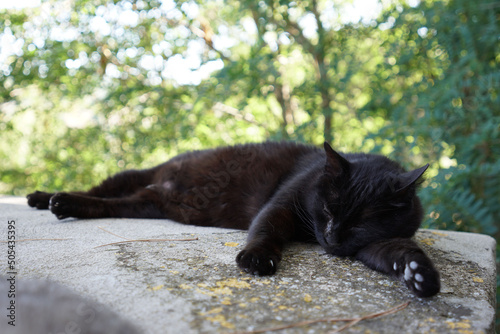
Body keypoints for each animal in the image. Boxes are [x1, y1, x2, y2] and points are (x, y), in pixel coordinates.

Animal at [27, 141, 442, 298]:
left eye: (358, 224)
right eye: (327, 210)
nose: (332, 238)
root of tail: (160, 183)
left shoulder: (377, 242)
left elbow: (398, 250)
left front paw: (419, 274)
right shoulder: (282, 205)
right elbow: (267, 230)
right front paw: (258, 258)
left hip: (142, 204)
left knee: (106, 204)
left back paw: (62, 205)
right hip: (129, 175)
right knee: (96, 189)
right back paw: (47, 198)